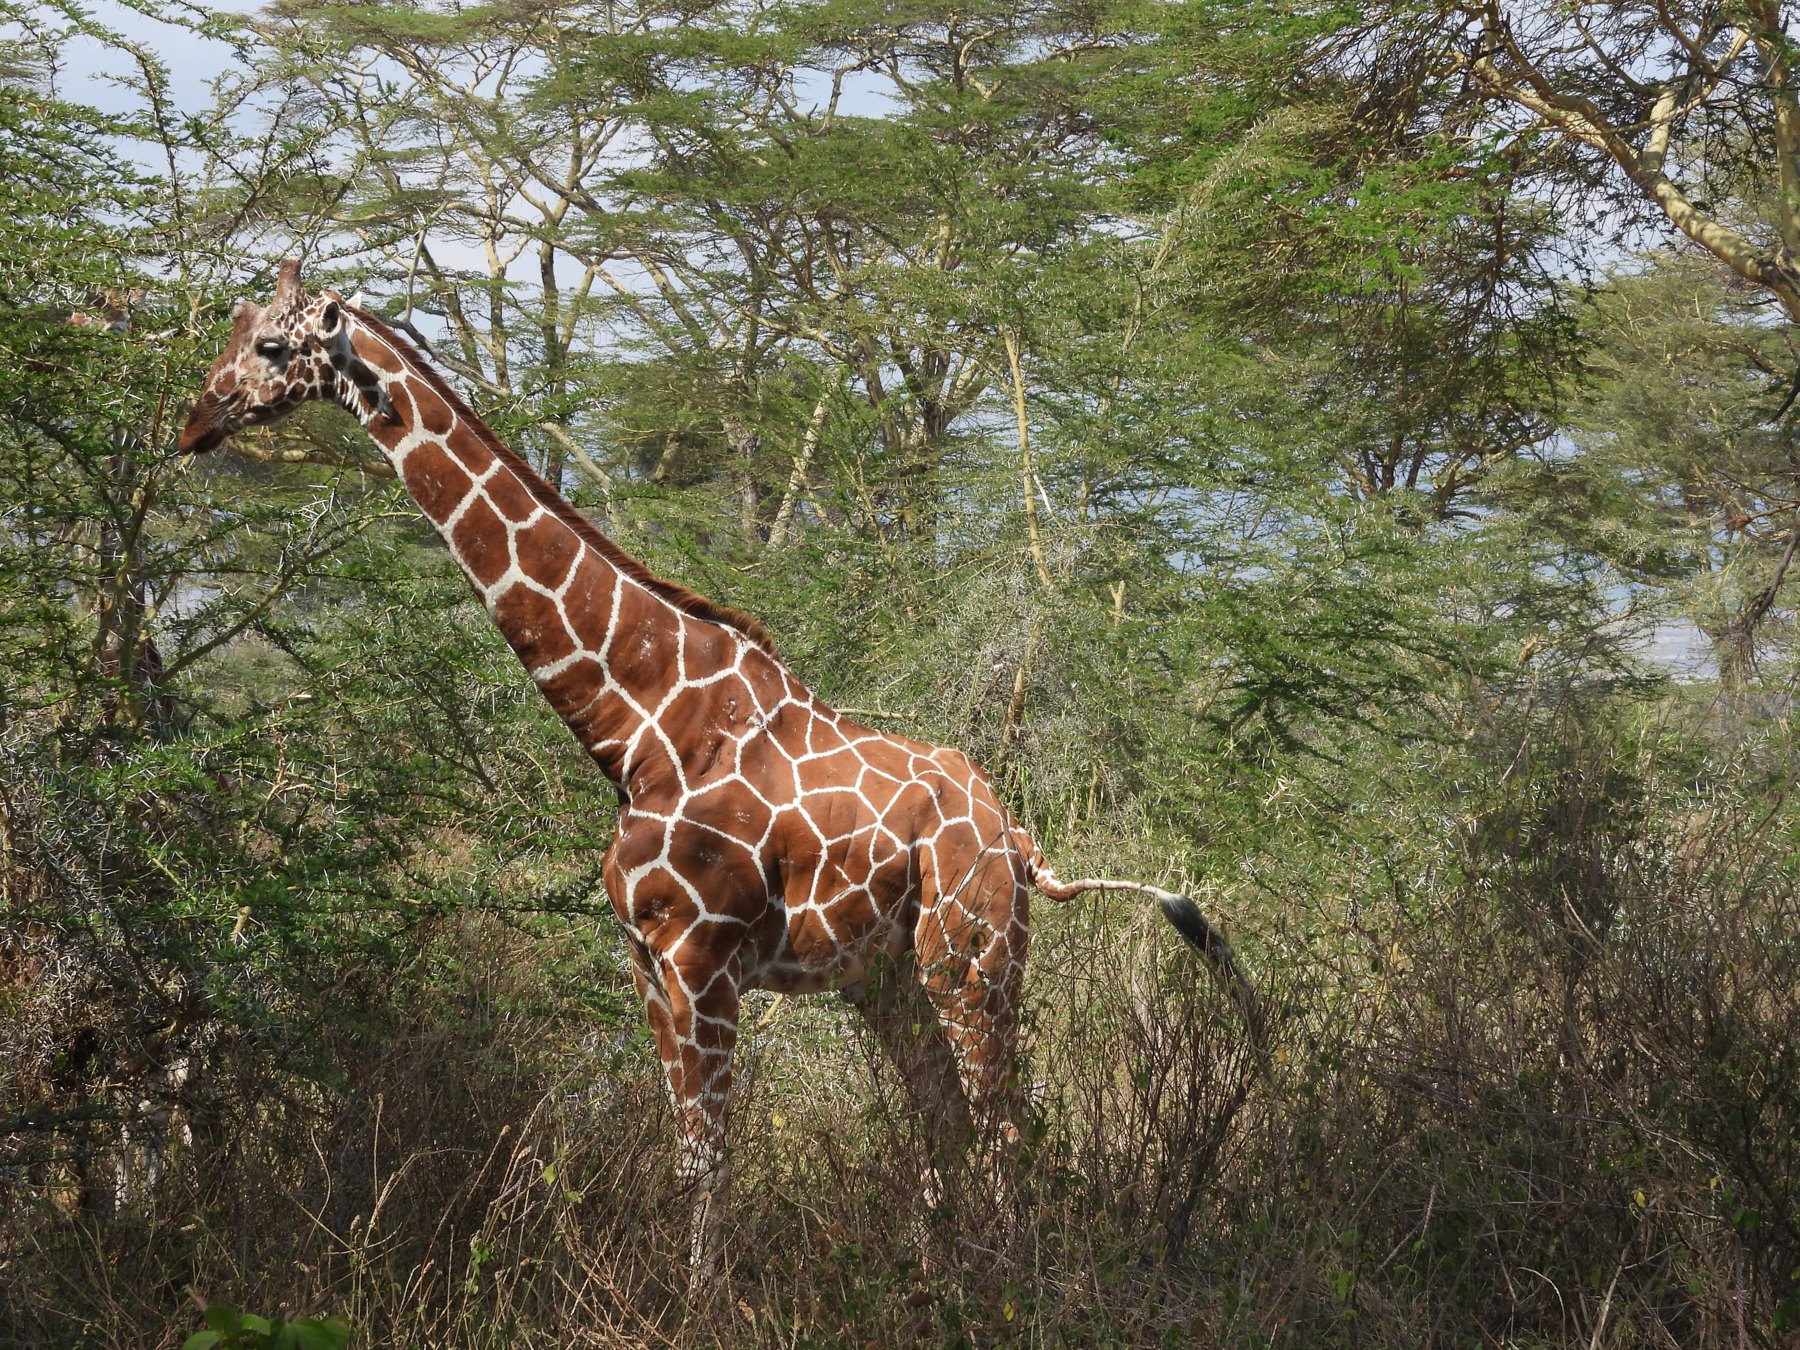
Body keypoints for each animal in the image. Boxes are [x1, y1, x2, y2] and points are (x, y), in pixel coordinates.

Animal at [180, 260, 1258, 1289]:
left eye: (270, 346)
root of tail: (1018, 836)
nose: (195, 421)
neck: (640, 724)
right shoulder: (647, 957)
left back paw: (1008, 1282)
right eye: (232, 328)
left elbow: (710, 1158)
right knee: (947, 1118)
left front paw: (697, 1301)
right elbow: (683, 1151)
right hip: (890, 977)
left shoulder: (701, 956)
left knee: (1004, 1124)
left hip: (972, 957)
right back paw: (935, 1276)